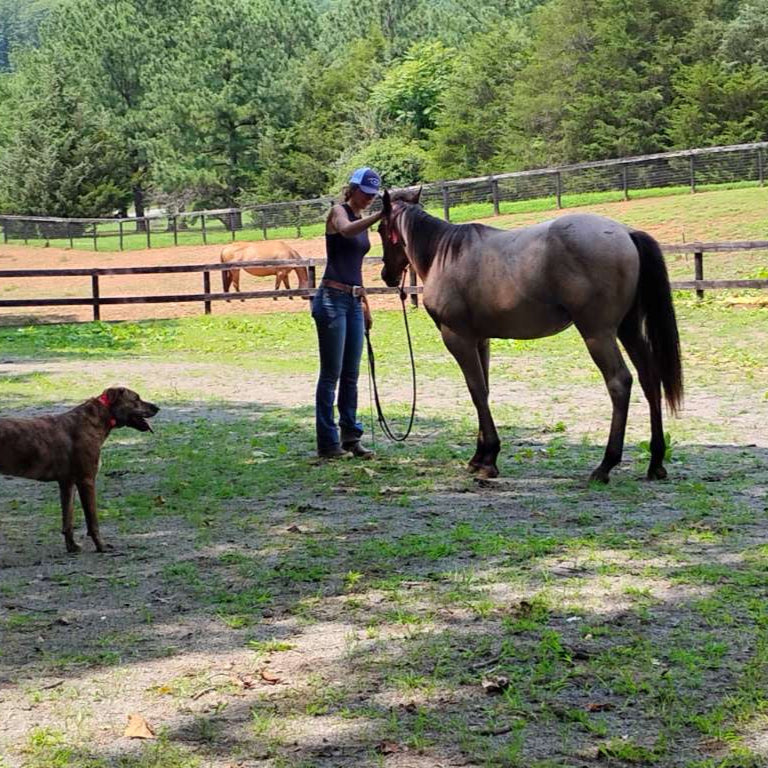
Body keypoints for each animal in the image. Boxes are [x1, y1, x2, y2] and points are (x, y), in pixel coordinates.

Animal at [378, 188, 683, 483]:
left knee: (619, 383)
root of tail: (626, 233)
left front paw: (489, 460)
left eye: (380, 228)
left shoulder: (457, 338)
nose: (386, 275)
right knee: (649, 378)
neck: (445, 255)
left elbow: (476, 391)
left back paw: (605, 465)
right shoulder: (480, 340)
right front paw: (480, 457)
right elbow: (483, 391)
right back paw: (656, 462)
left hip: (598, 333)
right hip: (627, 329)